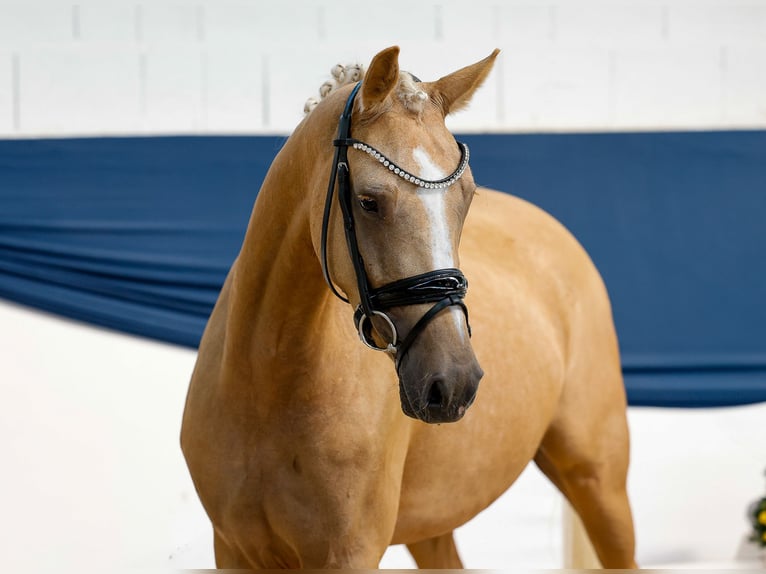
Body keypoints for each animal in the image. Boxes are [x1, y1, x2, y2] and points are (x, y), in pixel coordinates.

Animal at [183, 47, 640, 568]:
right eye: (368, 202)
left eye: (467, 197)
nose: (455, 382)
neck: (267, 386)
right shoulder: (233, 550)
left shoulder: (349, 554)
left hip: (598, 480)